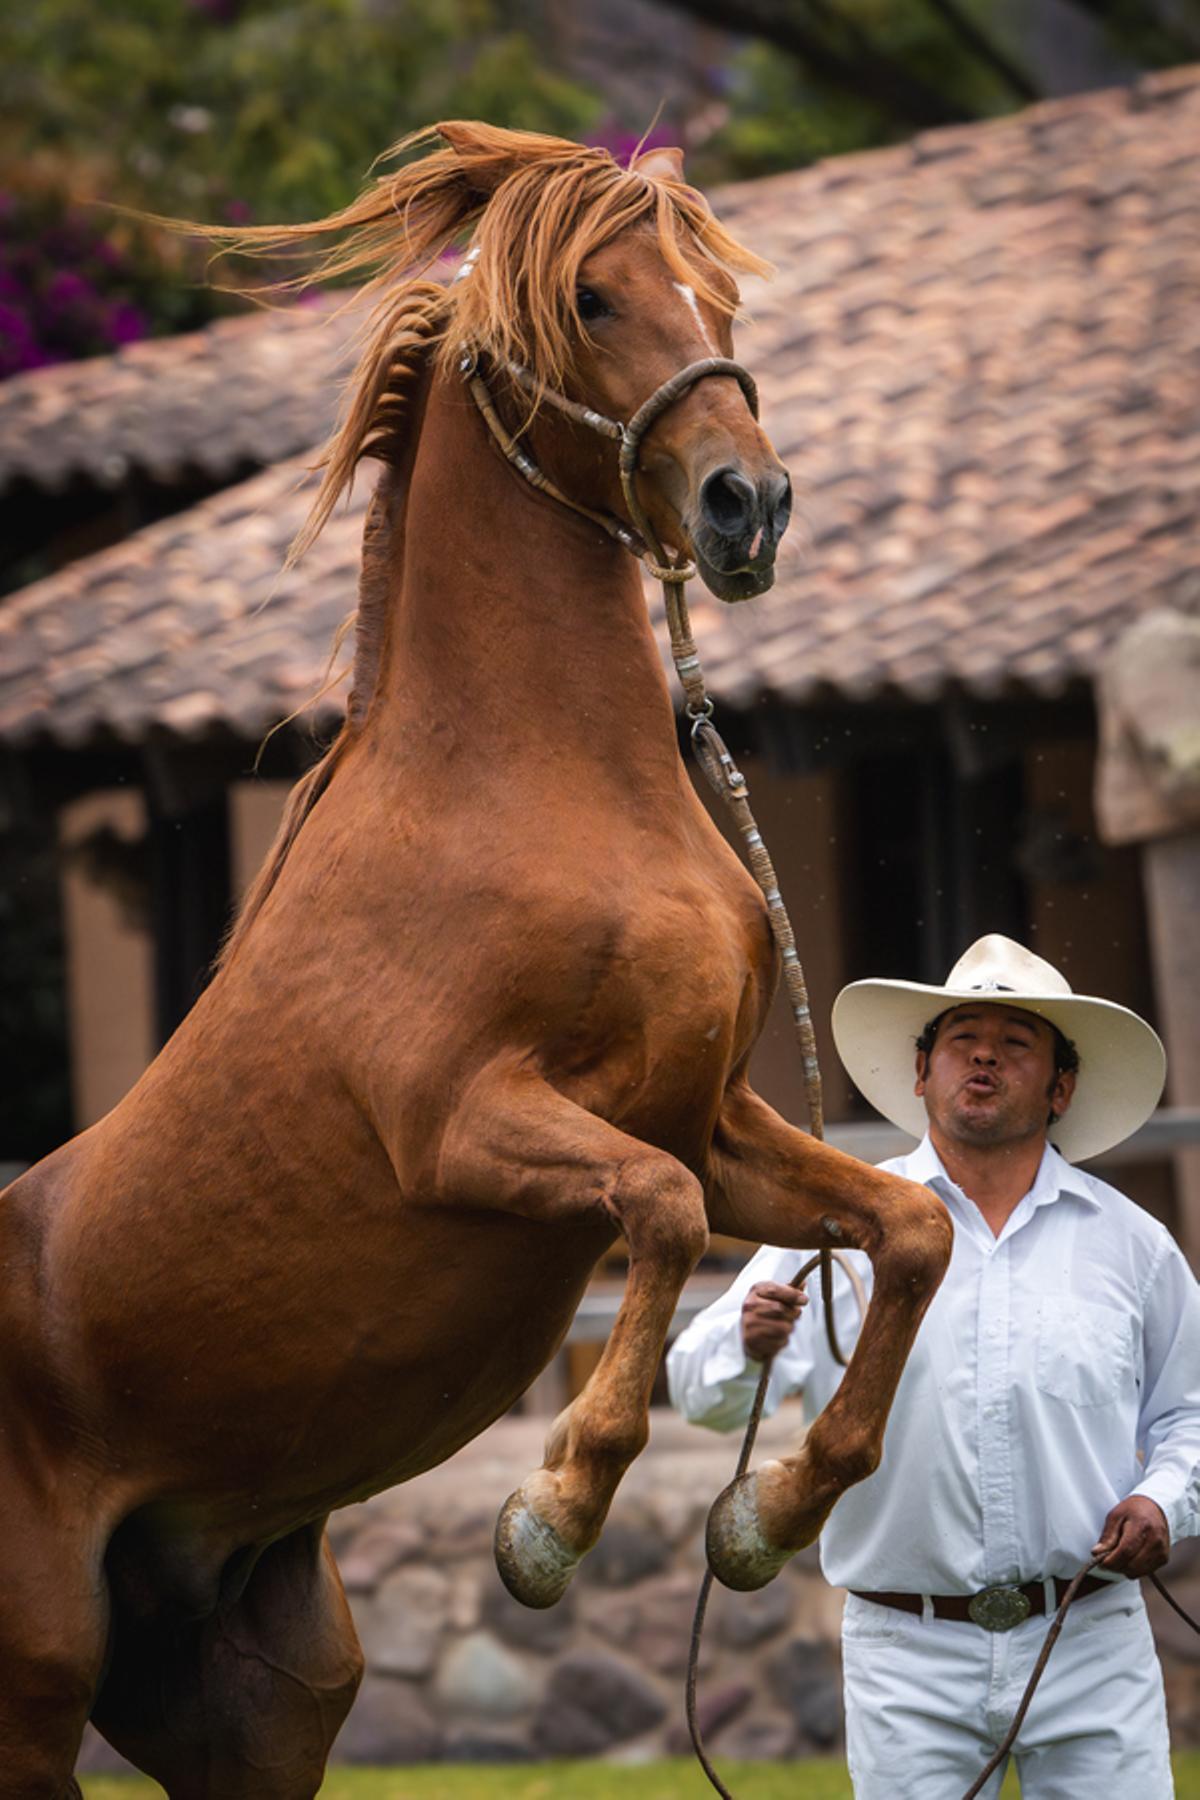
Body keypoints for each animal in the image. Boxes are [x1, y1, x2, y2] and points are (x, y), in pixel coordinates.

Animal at [0, 122, 952, 1797]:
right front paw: (550, 1517)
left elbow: (910, 1227)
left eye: (717, 297)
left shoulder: (713, 1120)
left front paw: (766, 1515)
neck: (530, 789)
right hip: (29, 1688)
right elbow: (655, 1219)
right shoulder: (467, 1128)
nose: (750, 505)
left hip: (258, 1706)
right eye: (591, 296)